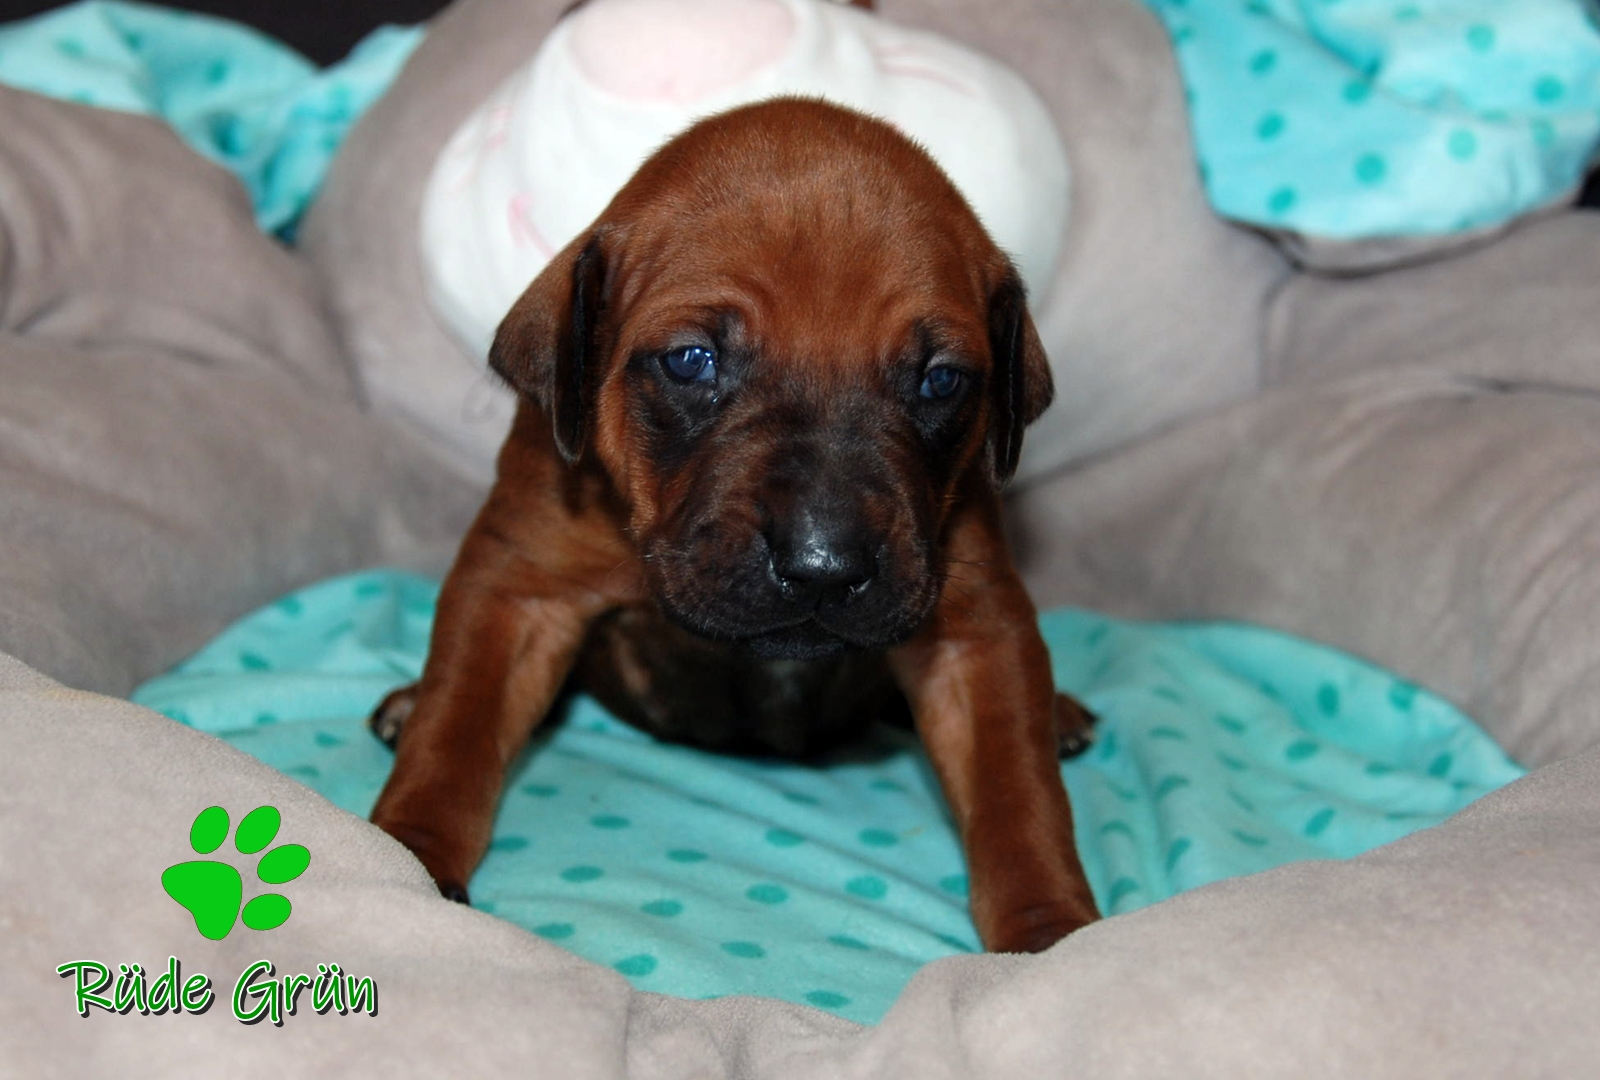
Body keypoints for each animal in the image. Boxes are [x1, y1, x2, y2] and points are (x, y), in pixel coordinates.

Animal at [369, 96, 1101, 953]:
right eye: (692, 361)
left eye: (941, 380)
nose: (824, 566)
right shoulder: (518, 590)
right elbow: (453, 734)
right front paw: (404, 864)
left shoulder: (974, 632)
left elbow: (1020, 797)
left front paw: (1053, 936)